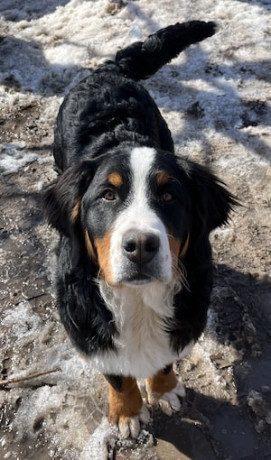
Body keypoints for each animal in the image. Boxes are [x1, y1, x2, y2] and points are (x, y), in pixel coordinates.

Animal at [43, 21, 237, 438]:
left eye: (169, 196)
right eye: (108, 195)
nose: (141, 246)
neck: (138, 301)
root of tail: (108, 71)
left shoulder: (185, 319)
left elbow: (163, 360)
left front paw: (163, 389)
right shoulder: (88, 329)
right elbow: (117, 375)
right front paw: (127, 411)